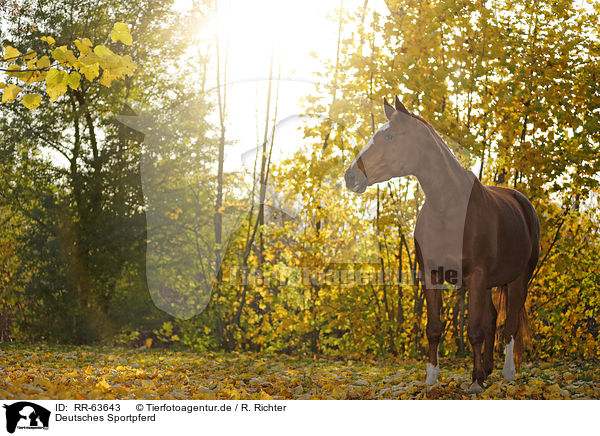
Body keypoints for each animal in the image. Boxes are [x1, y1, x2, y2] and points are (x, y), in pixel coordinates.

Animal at [344, 98, 540, 392]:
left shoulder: (476, 277)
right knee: (493, 319)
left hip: (518, 280)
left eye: (389, 137)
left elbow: (474, 330)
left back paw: (507, 373)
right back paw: (488, 370)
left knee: (509, 325)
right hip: (491, 284)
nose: (350, 176)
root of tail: (522, 203)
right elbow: (435, 328)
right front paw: (432, 378)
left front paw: (474, 382)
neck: (448, 207)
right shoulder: (431, 275)